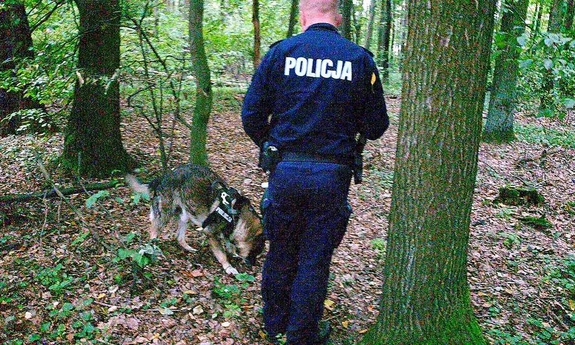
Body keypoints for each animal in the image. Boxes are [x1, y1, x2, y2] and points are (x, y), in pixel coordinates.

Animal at [126, 164, 266, 274]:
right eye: (255, 251)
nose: (253, 265)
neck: (236, 214)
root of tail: (164, 176)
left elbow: (229, 244)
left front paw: (233, 253)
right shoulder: (210, 233)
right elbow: (222, 254)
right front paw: (228, 267)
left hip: (186, 216)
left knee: (179, 237)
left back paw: (188, 248)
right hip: (165, 214)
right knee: (153, 231)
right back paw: (154, 248)